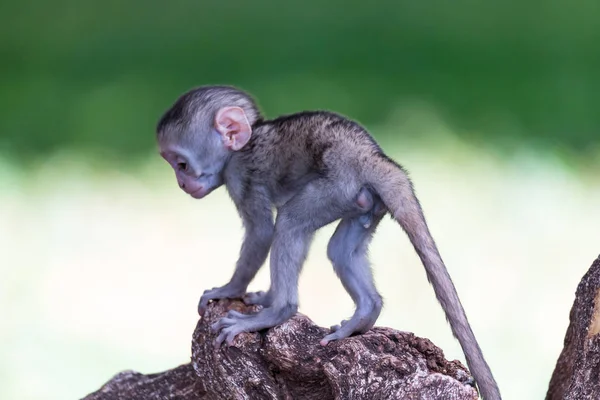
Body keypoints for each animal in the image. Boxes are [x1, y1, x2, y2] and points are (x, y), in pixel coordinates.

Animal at [156, 86, 502, 398]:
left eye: (181, 164)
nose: (181, 183)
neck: (245, 144)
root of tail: (372, 156)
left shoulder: (241, 176)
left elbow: (262, 232)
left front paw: (230, 290)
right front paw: (264, 295)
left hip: (338, 185)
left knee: (289, 223)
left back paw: (278, 311)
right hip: (364, 202)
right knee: (339, 250)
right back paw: (365, 311)